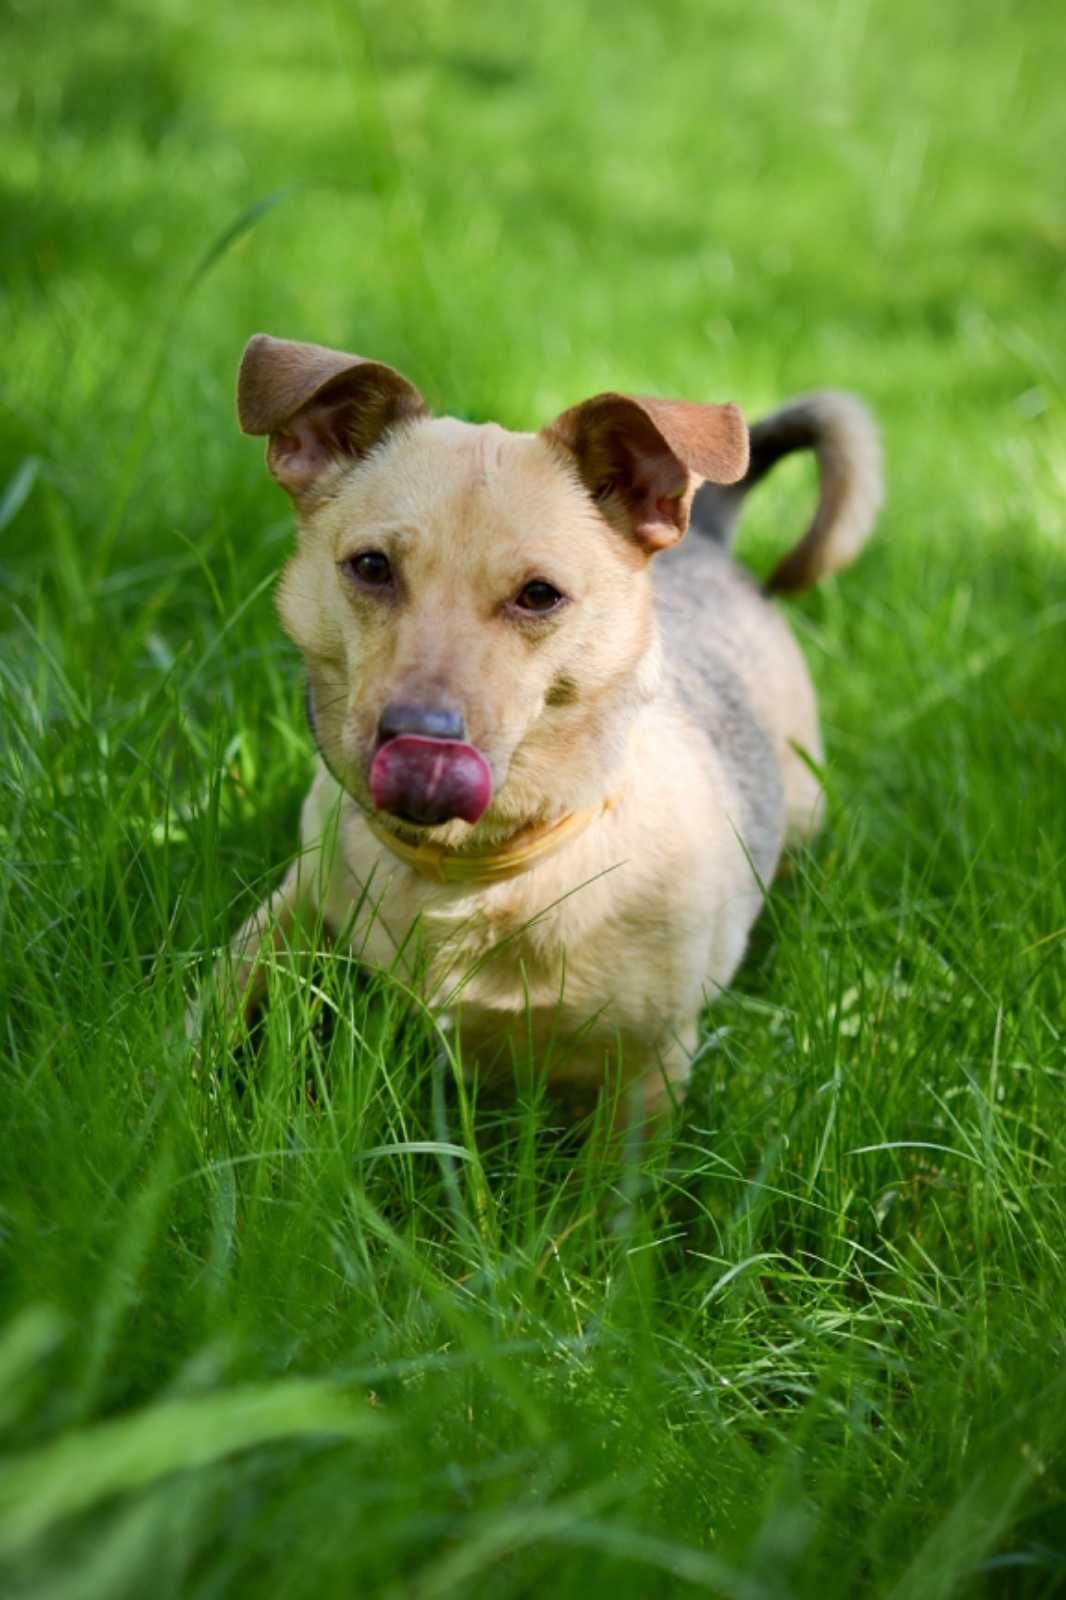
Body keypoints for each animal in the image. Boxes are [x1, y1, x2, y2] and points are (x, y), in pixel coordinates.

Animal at [211, 332, 877, 1120]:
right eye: (371, 566)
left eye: (539, 595)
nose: (421, 737)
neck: (466, 872)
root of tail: (710, 540)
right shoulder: (287, 913)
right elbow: (207, 1019)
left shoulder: (647, 1072)